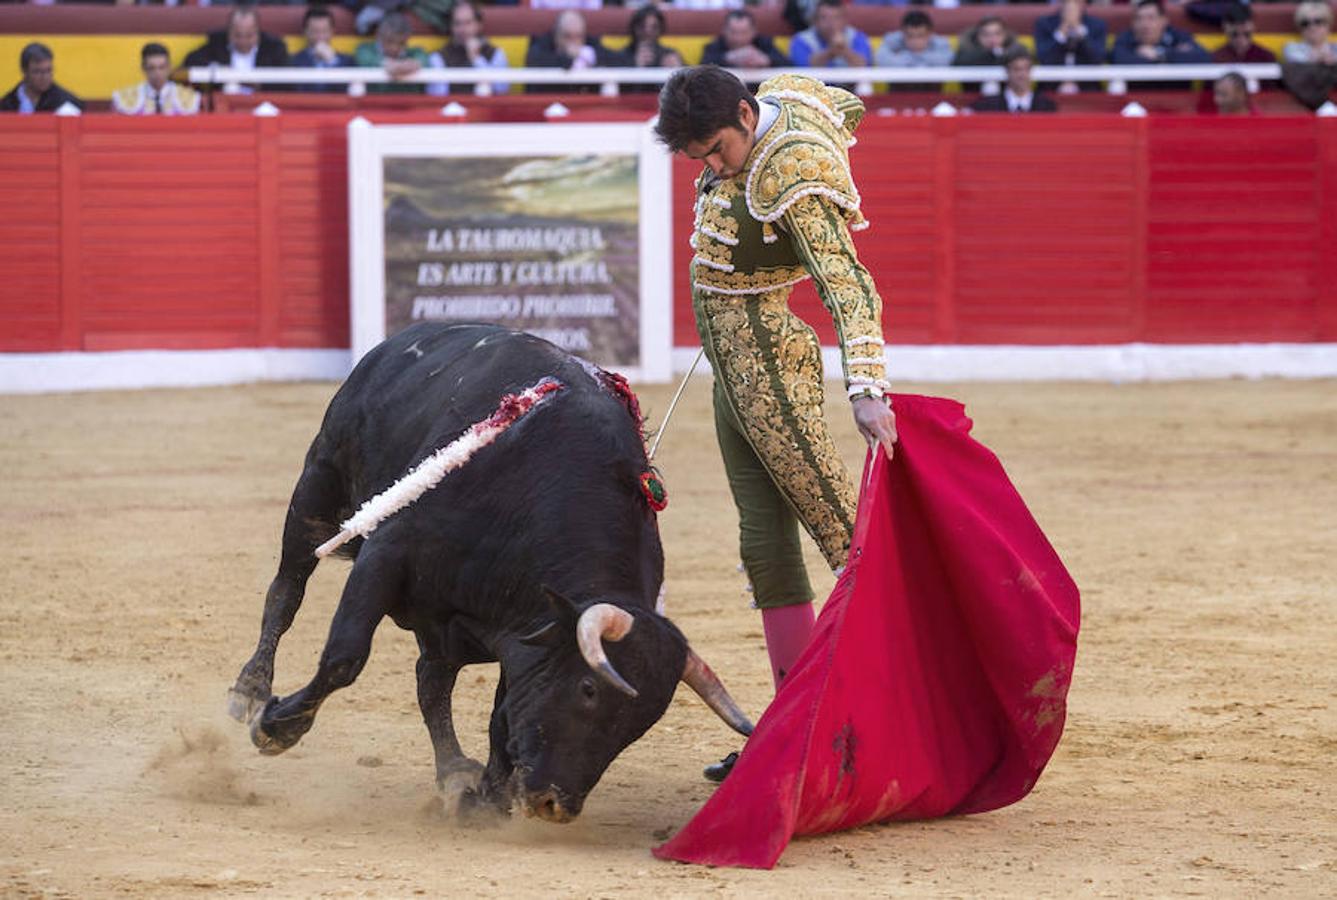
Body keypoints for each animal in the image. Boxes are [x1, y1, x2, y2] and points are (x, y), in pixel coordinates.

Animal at [229, 323, 754, 823]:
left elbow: (502, 712)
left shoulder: (525, 632)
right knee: (286, 591)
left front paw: (485, 798)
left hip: (438, 625)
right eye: (588, 689)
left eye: (640, 724)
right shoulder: (387, 553)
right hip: (317, 491)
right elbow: (345, 655)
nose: (555, 805)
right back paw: (250, 691)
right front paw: (276, 728)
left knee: (431, 679)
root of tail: (402, 340)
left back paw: (453, 771)